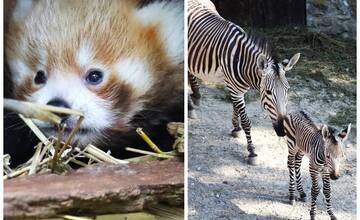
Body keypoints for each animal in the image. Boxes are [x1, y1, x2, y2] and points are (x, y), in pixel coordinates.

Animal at [188, 0, 300, 165]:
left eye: (287, 90)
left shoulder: (237, 88)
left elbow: (235, 107)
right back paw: (191, 106)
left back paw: (195, 96)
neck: (242, 62)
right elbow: (246, 121)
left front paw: (236, 128)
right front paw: (252, 151)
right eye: (268, 92)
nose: (282, 130)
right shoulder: (235, 89)